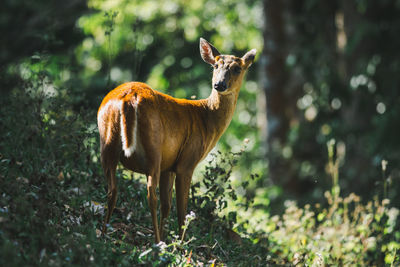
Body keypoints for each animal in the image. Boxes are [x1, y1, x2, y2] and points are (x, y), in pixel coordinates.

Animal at [98, 37, 258, 243]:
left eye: (237, 68)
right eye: (216, 65)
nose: (219, 84)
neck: (206, 118)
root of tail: (128, 99)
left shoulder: (169, 165)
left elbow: (167, 205)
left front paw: (169, 239)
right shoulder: (186, 161)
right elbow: (182, 209)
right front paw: (180, 244)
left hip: (107, 141)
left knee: (112, 190)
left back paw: (103, 234)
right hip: (153, 148)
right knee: (150, 194)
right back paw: (156, 242)